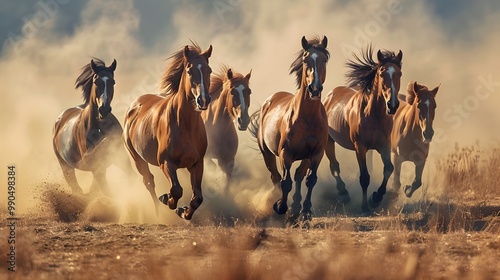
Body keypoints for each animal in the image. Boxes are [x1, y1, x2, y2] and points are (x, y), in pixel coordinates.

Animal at [52, 58, 131, 195]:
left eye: (113, 82)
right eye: (95, 81)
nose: (104, 110)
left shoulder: (120, 157)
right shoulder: (94, 165)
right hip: (66, 167)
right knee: (77, 189)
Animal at [124, 42, 213, 220]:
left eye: (209, 70)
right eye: (189, 70)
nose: (203, 100)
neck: (185, 125)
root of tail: (134, 105)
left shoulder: (197, 164)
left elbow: (197, 198)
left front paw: (184, 212)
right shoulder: (166, 163)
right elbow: (176, 190)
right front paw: (168, 200)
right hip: (137, 158)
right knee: (149, 182)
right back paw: (158, 211)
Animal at [249, 36, 328, 222]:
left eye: (324, 60)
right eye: (306, 60)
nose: (315, 89)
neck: (308, 117)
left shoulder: (317, 153)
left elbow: (310, 180)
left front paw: (305, 212)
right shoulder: (286, 153)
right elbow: (286, 182)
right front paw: (280, 207)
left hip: (305, 157)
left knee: (299, 175)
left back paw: (296, 208)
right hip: (267, 153)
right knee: (276, 177)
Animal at [322, 46, 404, 214]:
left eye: (399, 73)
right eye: (382, 73)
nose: (392, 105)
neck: (374, 114)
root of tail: (330, 95)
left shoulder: (384, 145)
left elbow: (389, 168)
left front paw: (376, 198)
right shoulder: (360, 147)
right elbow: (365, 177)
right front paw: (365, 207)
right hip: (329, 141)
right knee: (334, 166)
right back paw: (344, 194)